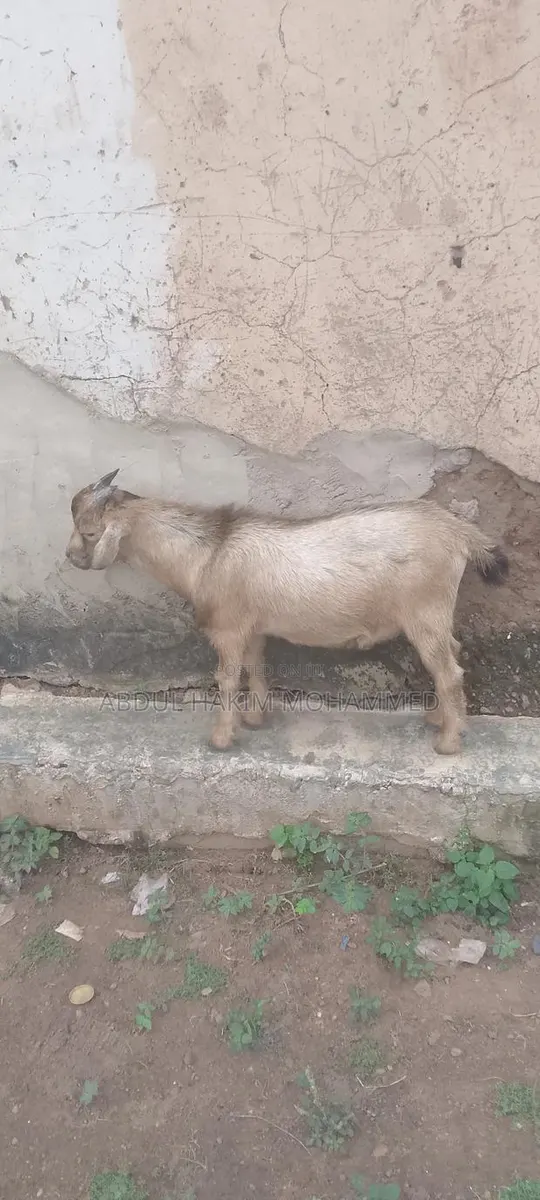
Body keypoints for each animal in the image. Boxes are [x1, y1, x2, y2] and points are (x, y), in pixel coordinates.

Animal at [66, 468, 509, 754]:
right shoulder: (252, 627)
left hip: (424, 611)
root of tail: (459, 532)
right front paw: (255, 719)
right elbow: (256, 666)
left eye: (89, 532)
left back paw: (448, 742)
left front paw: (222, 738)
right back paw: (439, 719)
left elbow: (227, 678)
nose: (70, 557)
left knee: (448, 671)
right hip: (435, 614)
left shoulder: (228, 629)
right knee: (452, 655)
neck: (208, 553)